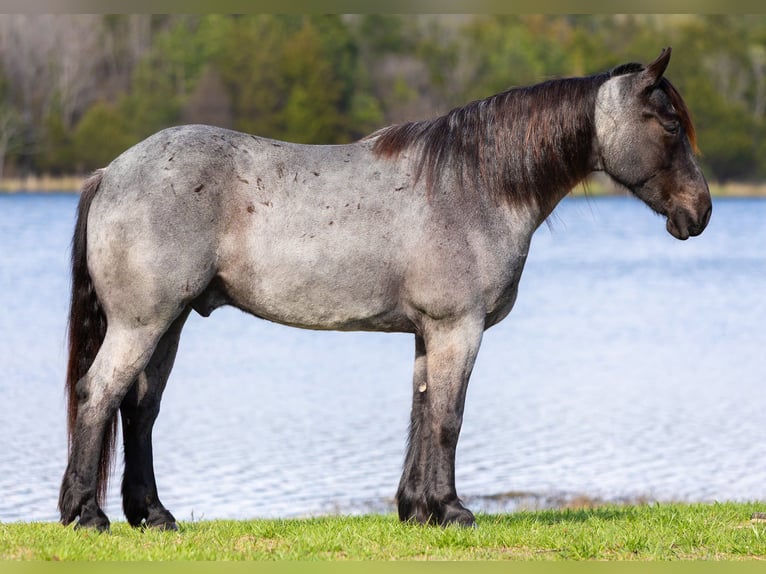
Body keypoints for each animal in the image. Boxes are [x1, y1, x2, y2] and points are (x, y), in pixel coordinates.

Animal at [59, 47, 711, 531]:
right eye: (669, 124)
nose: (699, 212)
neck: (475, 184)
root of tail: (110, 173)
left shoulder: (429, 332)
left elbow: (422, 412)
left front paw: (417, 509)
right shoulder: (457, 328)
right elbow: (448, 416)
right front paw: (452, 511)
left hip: (167, 322)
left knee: (139, 409)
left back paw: (152, 515)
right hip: (143, 323)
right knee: (99, 393)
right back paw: (86, 514)